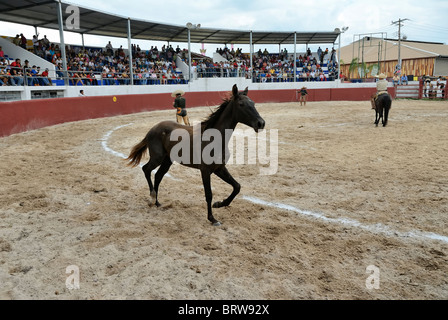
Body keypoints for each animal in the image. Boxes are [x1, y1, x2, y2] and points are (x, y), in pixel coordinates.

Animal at [125, 84, 266, 225]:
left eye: (253, 103)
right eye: (241, 104)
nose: (261, 123)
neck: (214, 140)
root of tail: (152, 129)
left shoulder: (219, 168)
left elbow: (237, 186)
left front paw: (219, 204)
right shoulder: (205, 170)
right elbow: (209, 194)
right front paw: (212, 218)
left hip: (167, 160)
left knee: (158, 175)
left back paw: (158, 202)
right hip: (157, 158)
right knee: (146, 169)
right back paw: (152, 198)